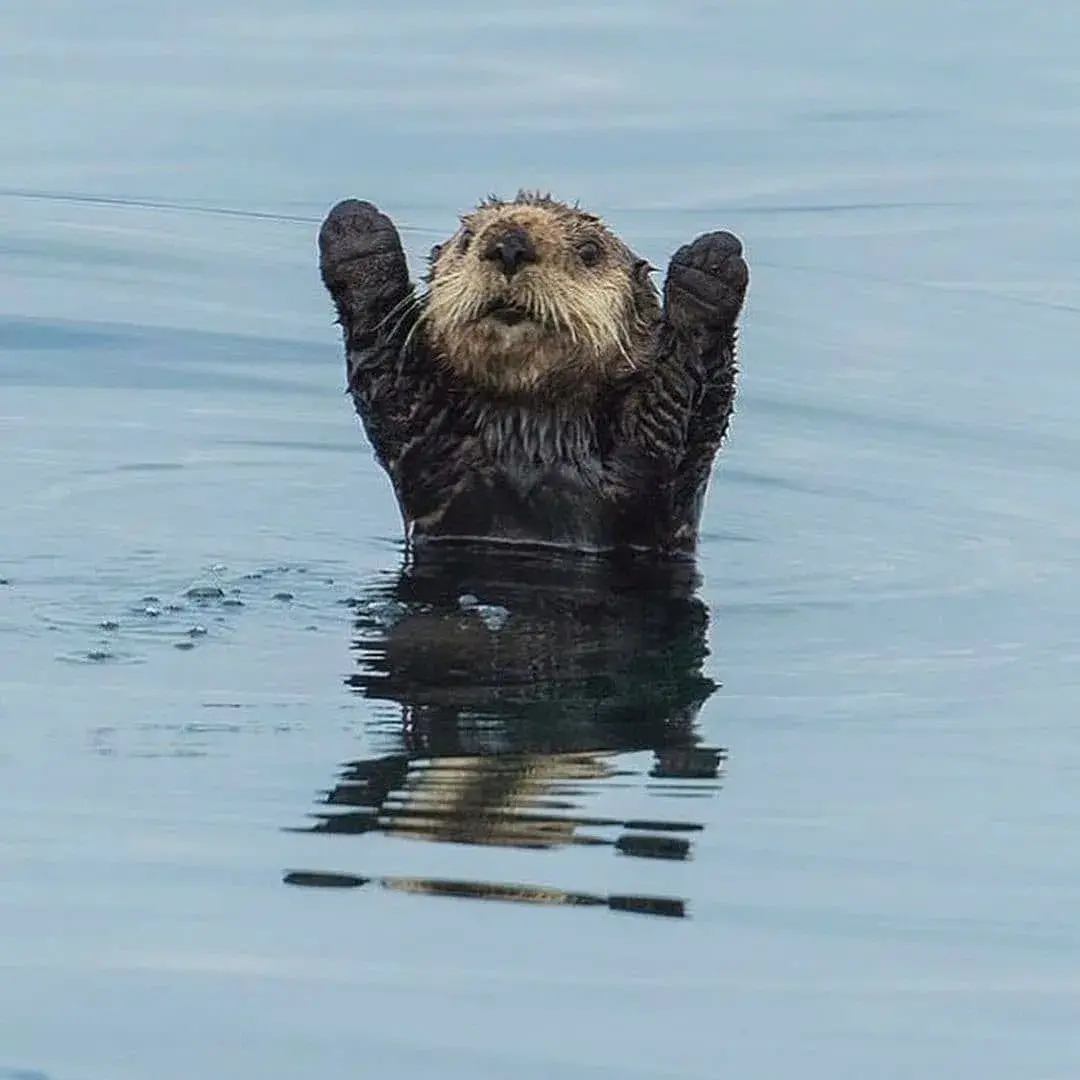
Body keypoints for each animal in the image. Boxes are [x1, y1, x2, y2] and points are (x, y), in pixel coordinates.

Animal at [315, 191, 747, 557]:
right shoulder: (430, 452)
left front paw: (711, 263)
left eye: (589, 251)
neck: (534, 441)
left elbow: (681, 400)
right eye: (467, 239)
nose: (509, 244)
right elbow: (389, 373)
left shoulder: (657, 478)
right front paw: (356, 229)